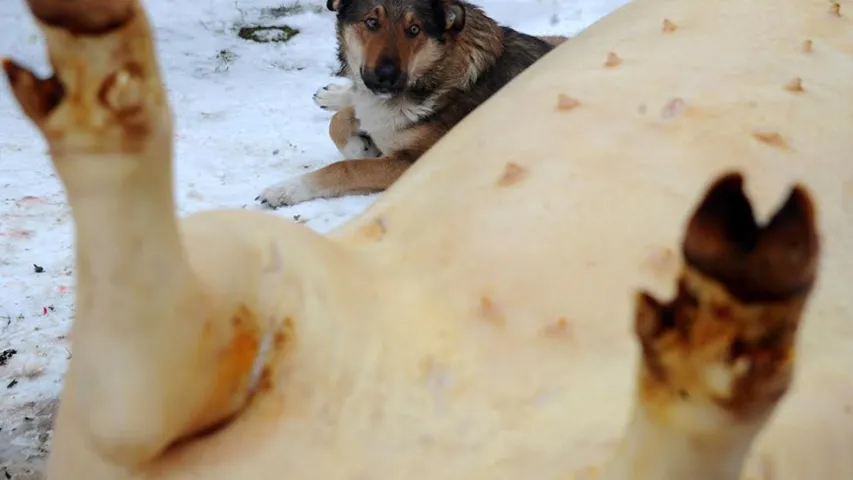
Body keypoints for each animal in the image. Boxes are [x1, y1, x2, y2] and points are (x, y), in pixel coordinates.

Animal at [256, 0, 568, 207]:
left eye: (414, 29)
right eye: (372, 22)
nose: (386, 76)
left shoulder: (412, 164)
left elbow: (347, 167)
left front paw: (285, 189)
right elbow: (343, 121)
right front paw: (358, 143)